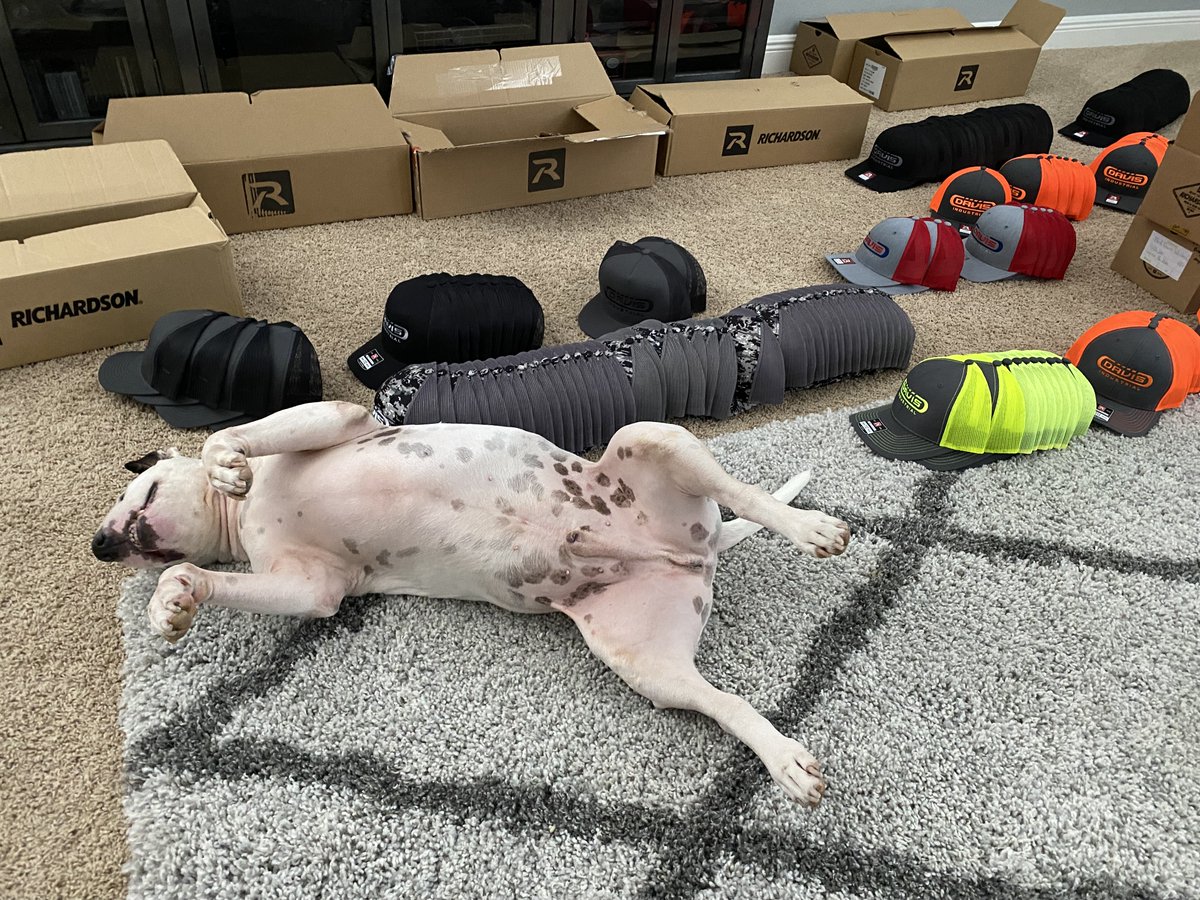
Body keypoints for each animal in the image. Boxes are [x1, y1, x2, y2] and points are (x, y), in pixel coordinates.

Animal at [93, 405, 849, 806]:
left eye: (142, 489)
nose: (101, 546)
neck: (239, 521)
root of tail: (695, 550)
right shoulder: (311, 587)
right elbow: (207, 578)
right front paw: (175, 600)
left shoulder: (333, 418)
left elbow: (228, 436)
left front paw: (225, 463)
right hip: (642, 659)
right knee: (726, 702)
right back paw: (783, 760)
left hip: (649, 436)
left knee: (748, 494)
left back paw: (810, 527)